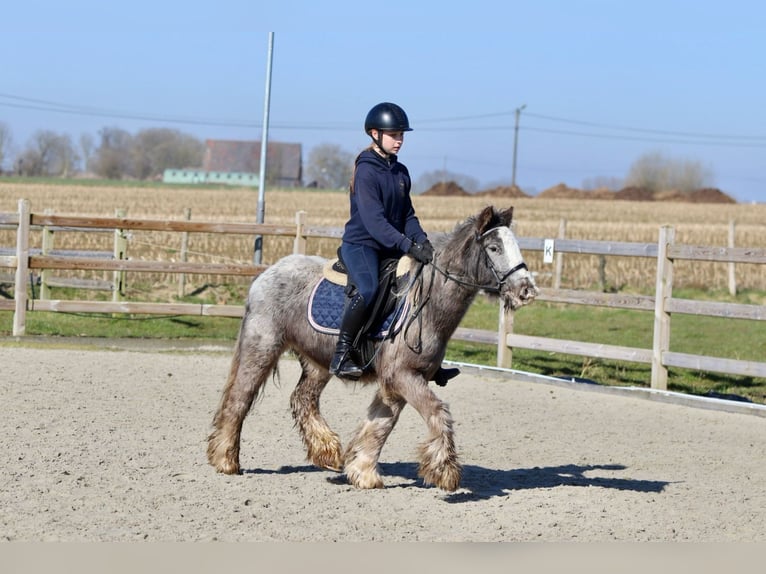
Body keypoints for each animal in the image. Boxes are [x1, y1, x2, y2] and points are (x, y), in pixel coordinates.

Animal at [207, 205, 536, 492]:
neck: (425, 304)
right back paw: (226, 460)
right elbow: (437, 413)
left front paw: (362, 471)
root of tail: (267, 273)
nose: (527, 290)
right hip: (261, 348)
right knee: (239, 399)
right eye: (494, 248)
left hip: (318, 363)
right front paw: (445, 472)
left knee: (303, 399)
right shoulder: (404, 377)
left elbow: (379, 425)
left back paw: (328, 452)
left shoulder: (395, 382)